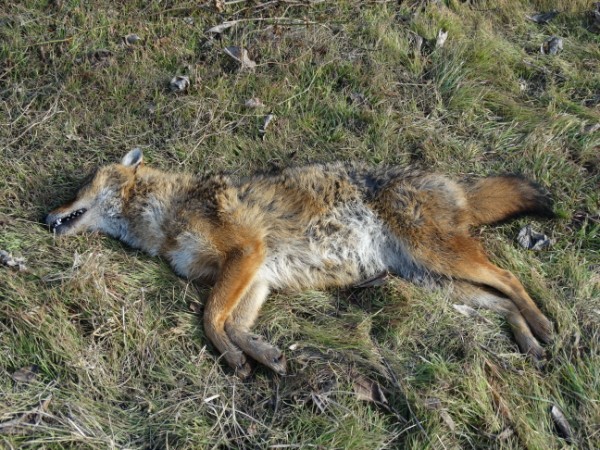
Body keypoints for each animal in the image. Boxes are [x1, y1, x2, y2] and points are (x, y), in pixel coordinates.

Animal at [45, 149, 555, 377]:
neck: (167, 211)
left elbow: (209, 318)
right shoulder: (257, 276)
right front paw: (260, 354)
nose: (45, 216)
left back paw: (545, 326)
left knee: (511, 277)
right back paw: (530, 343)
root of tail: (454, 183)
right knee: (501, 300)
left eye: (79, 187)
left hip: (441, 260)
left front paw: (235, 357)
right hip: (436, 281)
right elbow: (232, 324)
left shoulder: (247, 254)